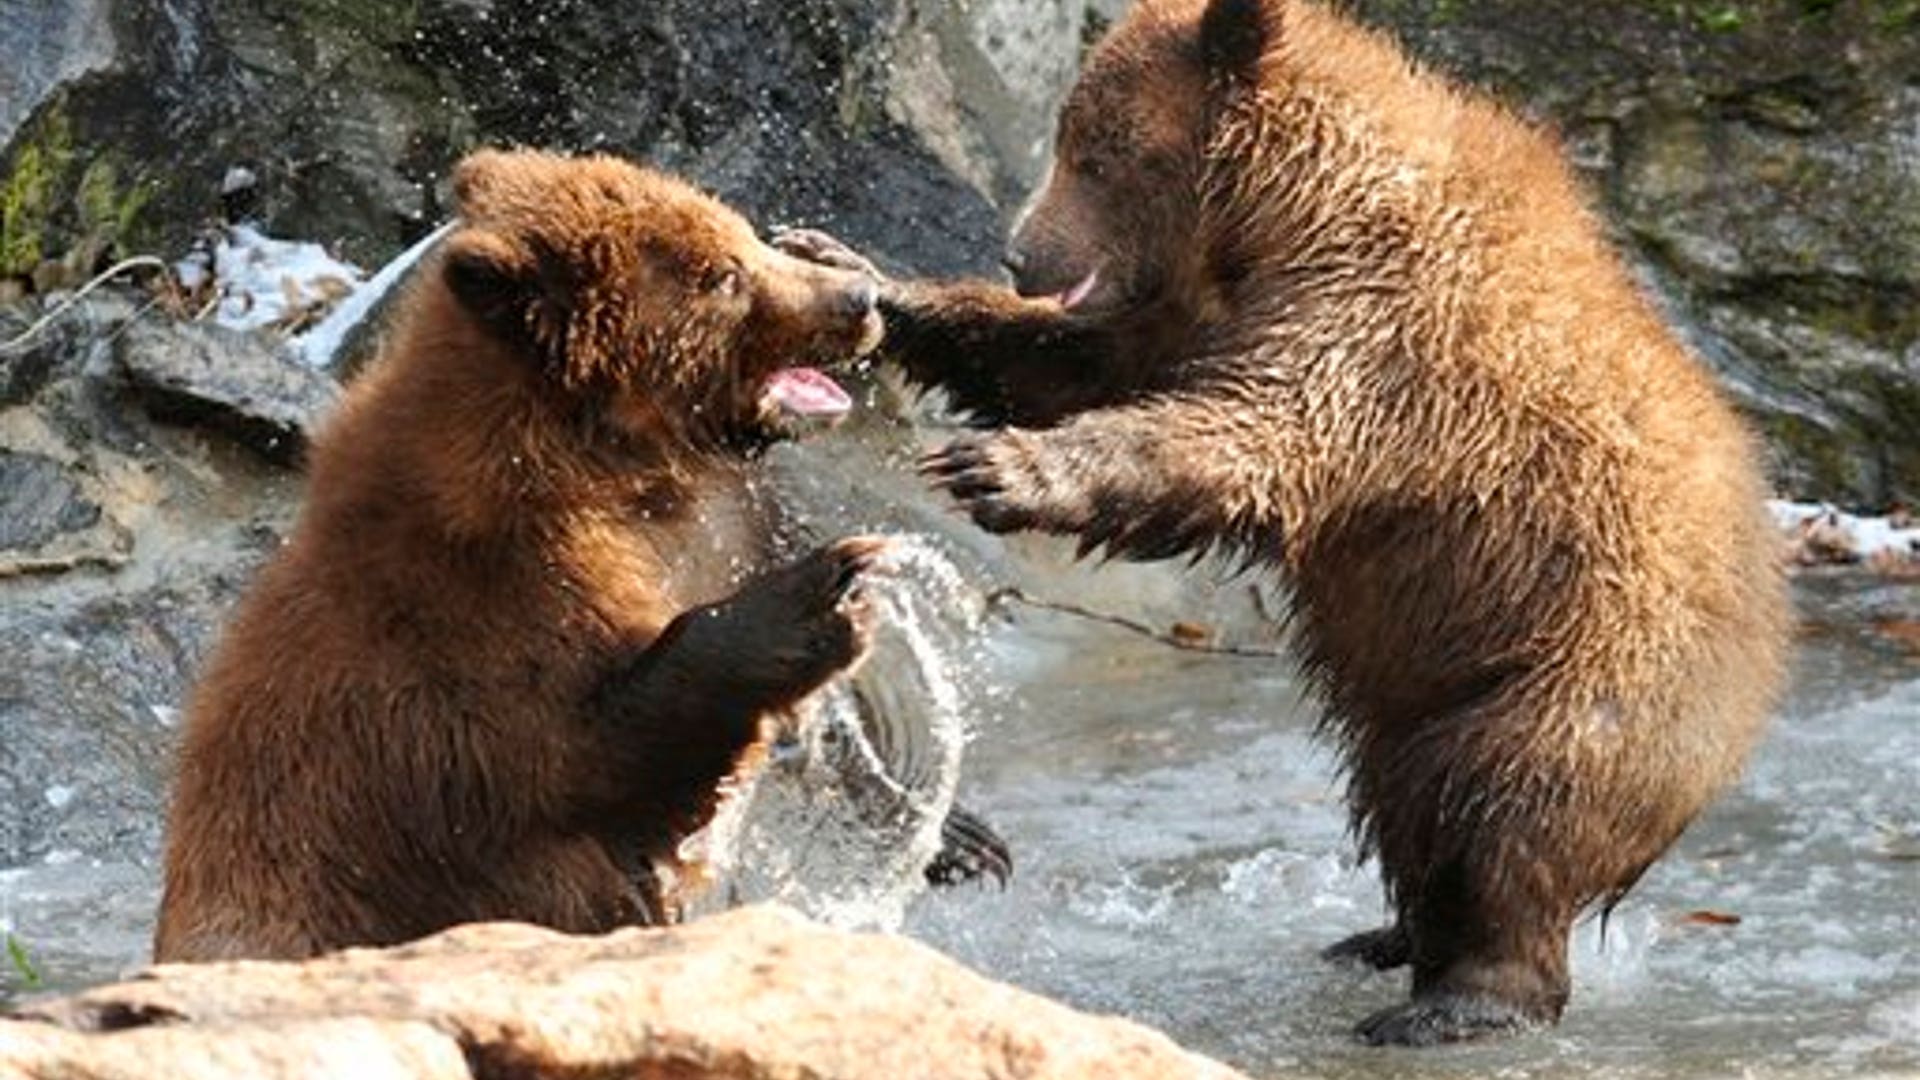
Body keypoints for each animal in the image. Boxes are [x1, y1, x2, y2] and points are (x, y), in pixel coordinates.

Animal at [153, 148, 1003, 963]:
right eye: (723, 276)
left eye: (741, 232)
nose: (859, 297)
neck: (623, 462)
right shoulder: (489, 615)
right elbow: (608, 753)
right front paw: (827, 590)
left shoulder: (718, 523)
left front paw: (956, 832)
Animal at [778, 0, 1790, 1045]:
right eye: (1072, 139)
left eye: (1099, 154)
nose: (1026, 255)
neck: (1275, 222)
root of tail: (1762, 673)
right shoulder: (1205, 312)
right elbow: (1074, 363)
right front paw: (856, 272)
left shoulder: (1384, 330)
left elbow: (1242, 434)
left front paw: (997, 469)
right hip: (1423, 691)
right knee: (1404, 797)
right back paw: (1386, 936)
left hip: (1581, 668)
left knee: (1510, 809)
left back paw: (1458, 1000)